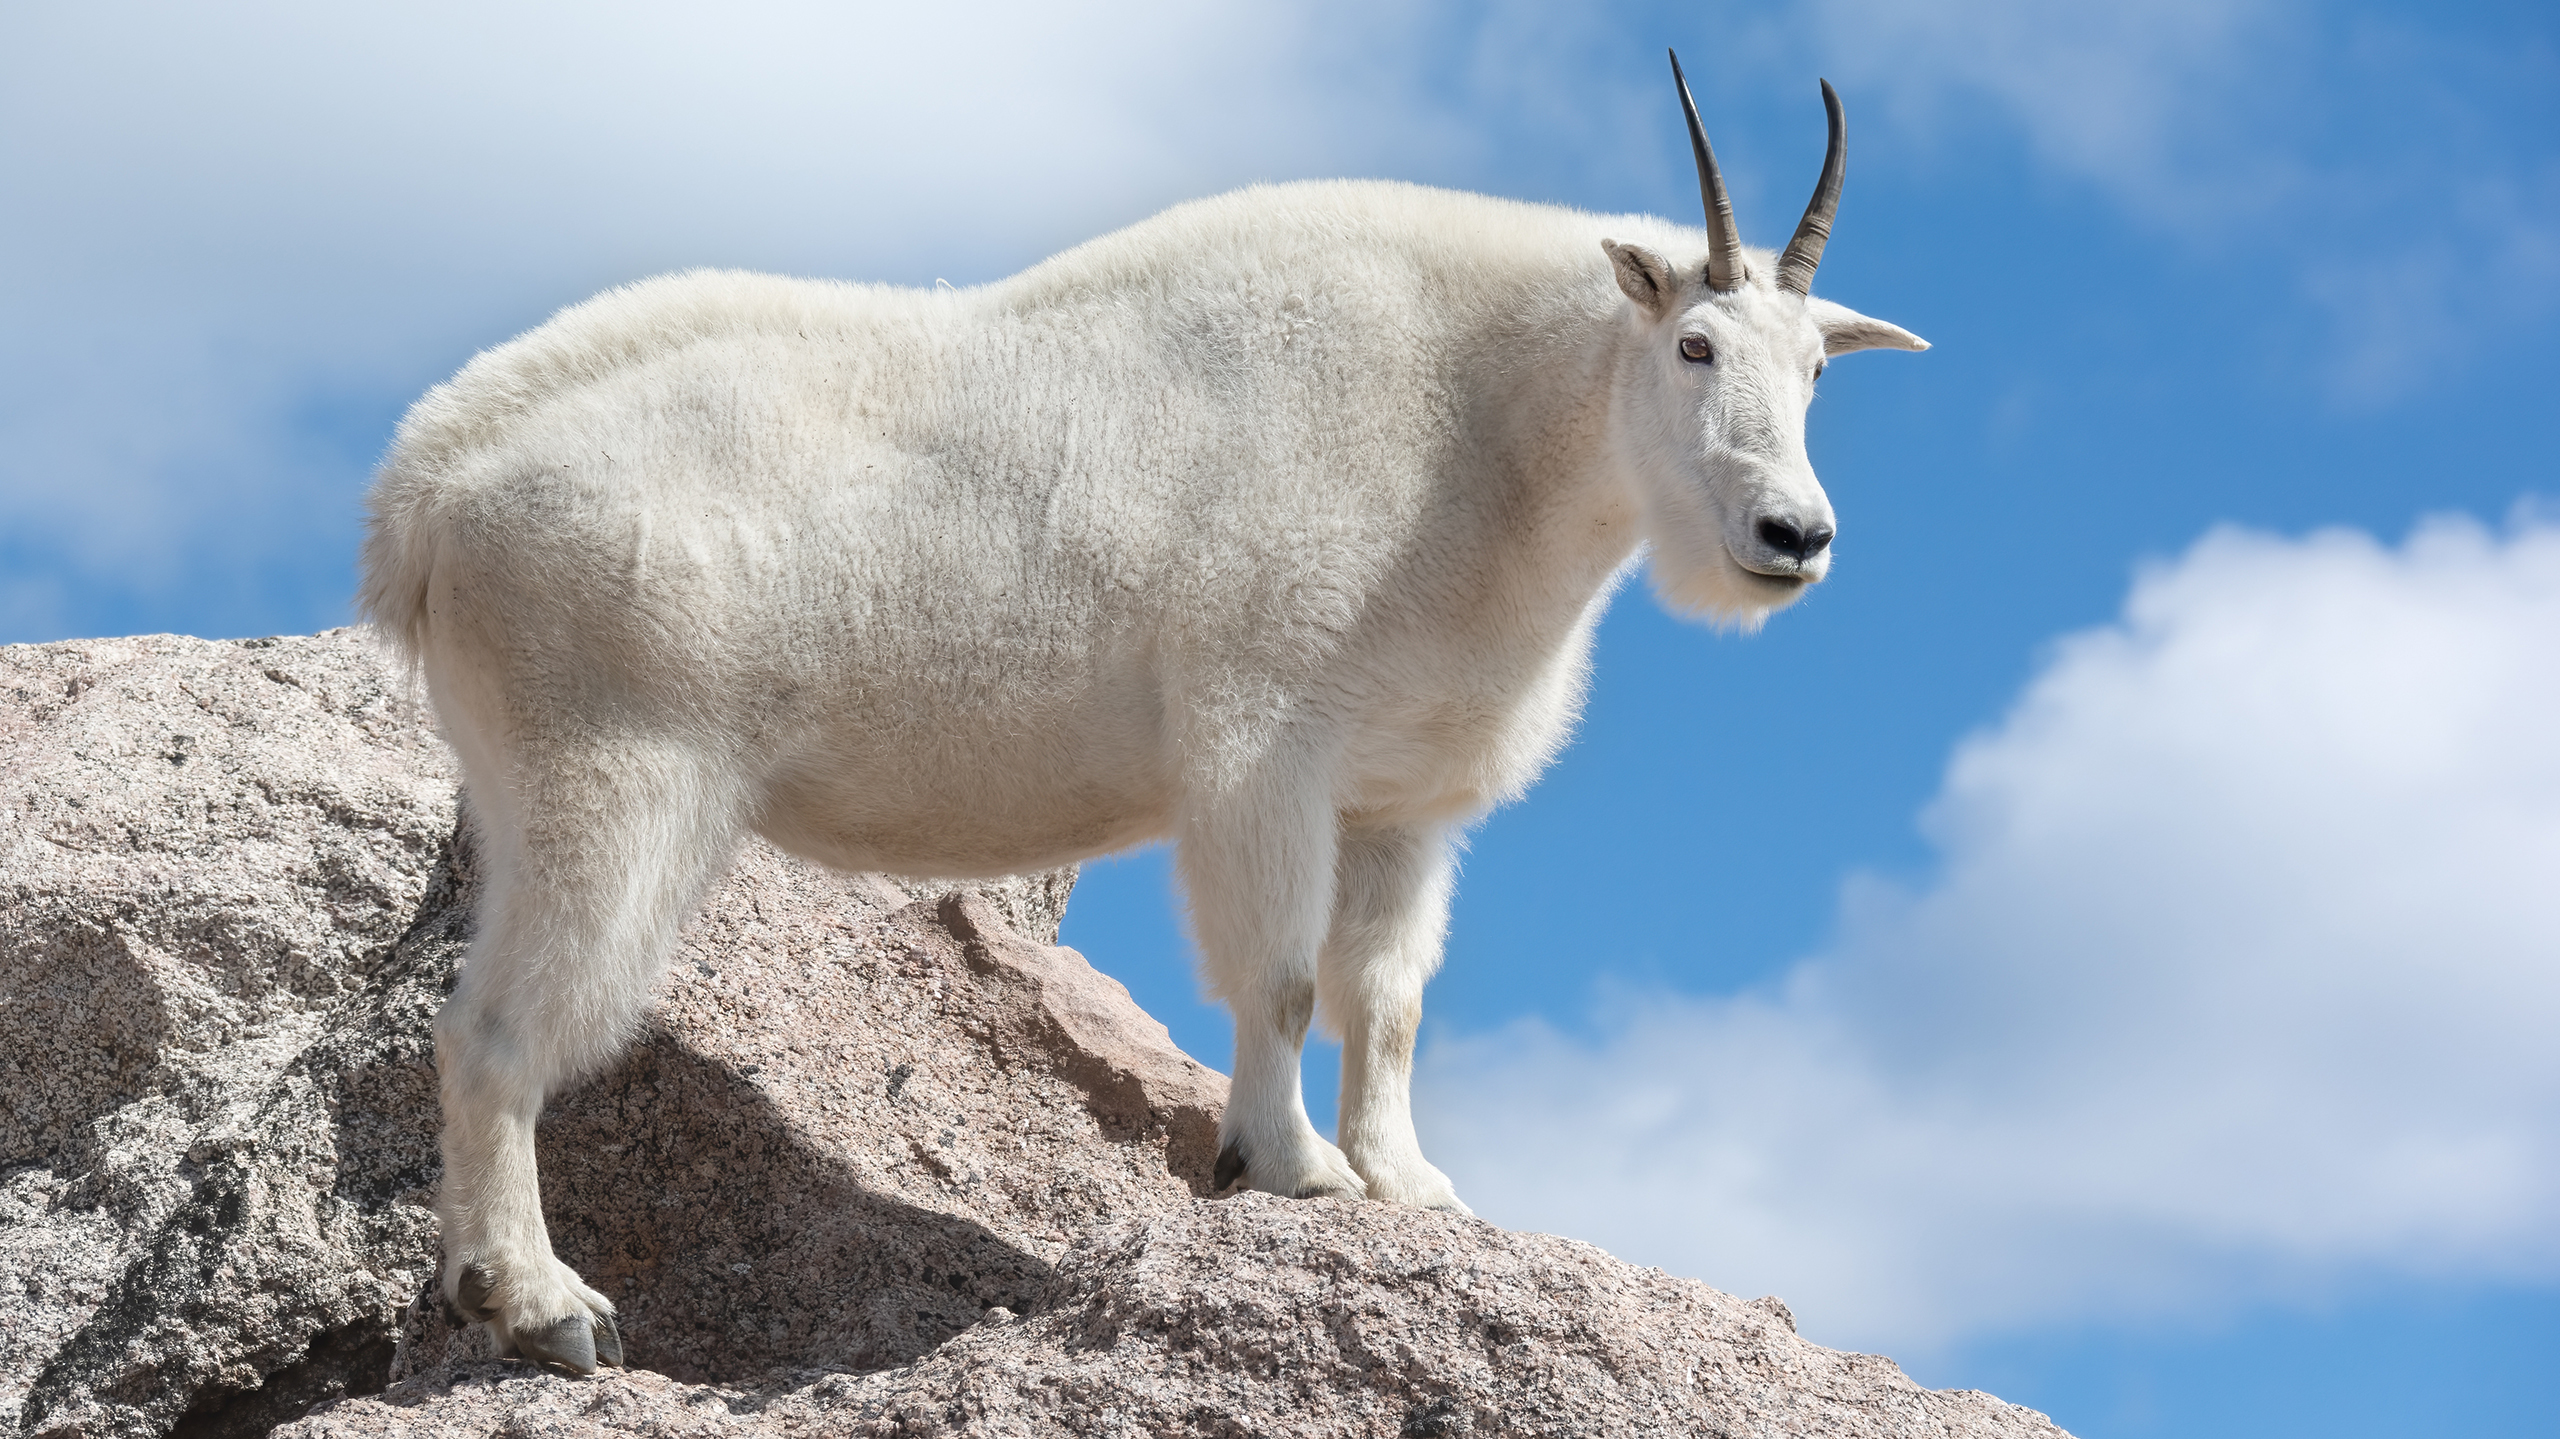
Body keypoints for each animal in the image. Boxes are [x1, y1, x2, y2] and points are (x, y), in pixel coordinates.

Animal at [359, 53, 1926, 1371]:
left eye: (1818, 367)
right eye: (1695, 347)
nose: (1793, 536)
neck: (1482, 433)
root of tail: (429, 485)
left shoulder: (1400, 799)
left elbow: (1388, 996)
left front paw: (1410, 1186)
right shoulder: (1262, 743)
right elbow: (1282, 975)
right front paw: (1288, 1168)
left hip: (520, 774)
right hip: (611, 767)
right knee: (491, 1032)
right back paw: (541, 1304)